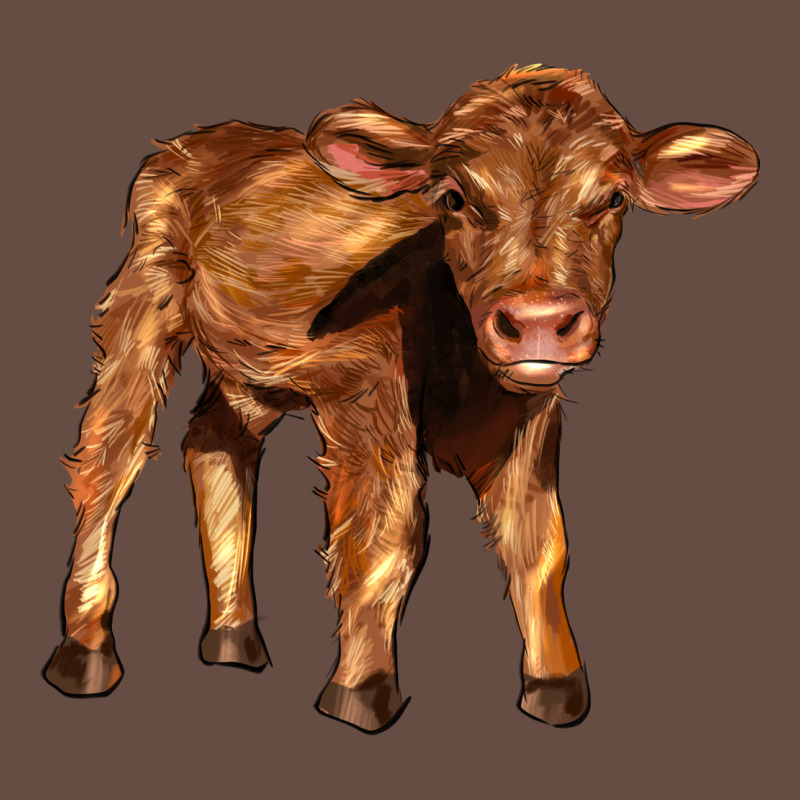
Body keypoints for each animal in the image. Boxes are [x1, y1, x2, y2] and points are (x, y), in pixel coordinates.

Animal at [44, 65, 759, 732]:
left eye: (613, 197)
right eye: (454, 197)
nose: (537, 320)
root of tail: (210, 137)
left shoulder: (528, 418)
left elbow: (540, 548)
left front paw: (555, 688)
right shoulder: (368, 402)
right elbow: (387, 538)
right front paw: (361, 690)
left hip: (251, 370)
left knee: (215, 444)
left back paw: (232, 636)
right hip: (143, 307)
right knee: (109, 458)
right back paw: (85, 650)